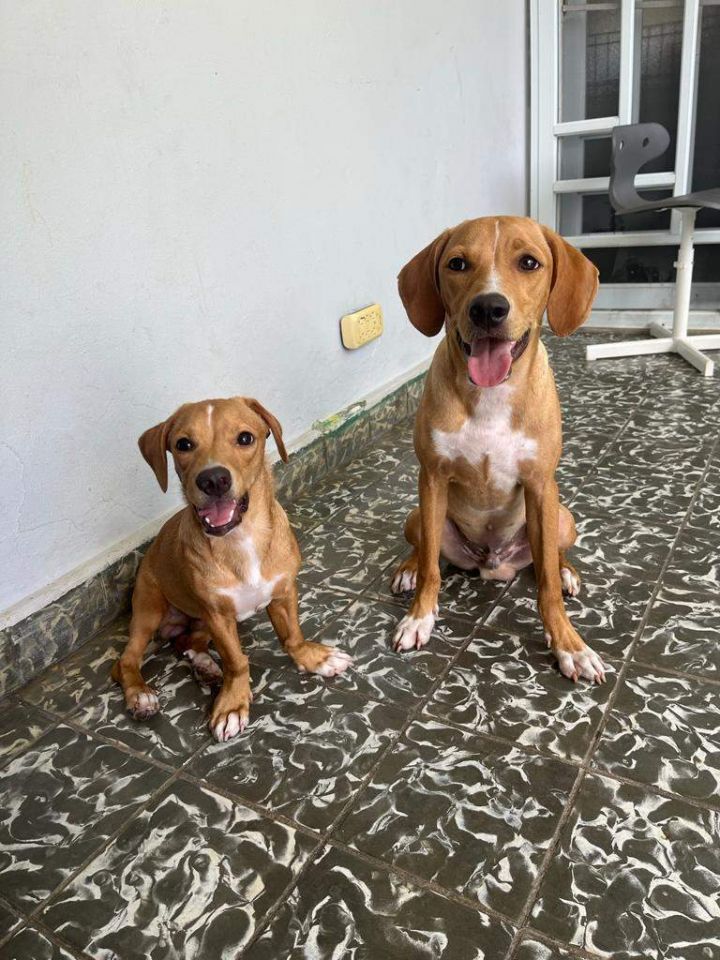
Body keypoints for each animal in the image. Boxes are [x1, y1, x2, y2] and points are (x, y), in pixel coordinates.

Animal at [110, 394, 354, 740]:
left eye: (245, 438)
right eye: (183, 444)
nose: (213, 479)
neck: (240, 539)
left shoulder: (283, 591)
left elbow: (292, 635)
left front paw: (314, 658)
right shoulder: (218, 615)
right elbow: (237, 661)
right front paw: (232, 705)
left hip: (198, 620)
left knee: (186, 643)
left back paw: (205, 667)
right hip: (149, 610)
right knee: (125, 661)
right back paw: (141, 695)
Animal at [390, 216, 604, 684]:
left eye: (529, 262)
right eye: (457, 263)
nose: (488, 308)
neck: (490, 396)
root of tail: (493, 562)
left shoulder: (541, 486)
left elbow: (545, 587)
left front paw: (569, 645)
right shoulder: (431, 478)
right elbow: (432, 567)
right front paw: (419, 617)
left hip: (563, 518)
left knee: (551, 556)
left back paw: (566, 571)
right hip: (418, 514)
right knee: (424, 547)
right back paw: (407, 570)